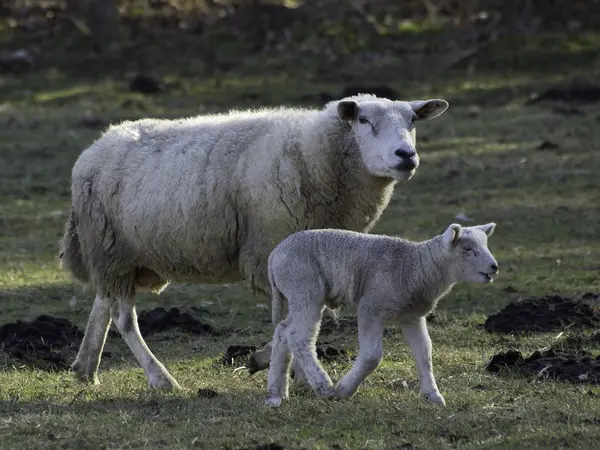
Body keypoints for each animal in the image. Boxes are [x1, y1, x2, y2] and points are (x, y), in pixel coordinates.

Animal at [57, 93, 450, 388]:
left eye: (412, 121)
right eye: (364, 121)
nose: (406, 156)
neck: (313, 157)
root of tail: (95, 147)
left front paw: (286, 370)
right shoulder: (271, 251)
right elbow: (293, 320)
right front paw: (274, 365)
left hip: (115, 252)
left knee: (103, 303)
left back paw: (85, 369)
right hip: (111, 249)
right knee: (123, 317)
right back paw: (160, 379)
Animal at [264, 222, 500, 408]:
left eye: (486, 245)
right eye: (468, 248)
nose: (494, 267)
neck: (416, 267)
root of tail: (275, 253)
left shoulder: (412, 317)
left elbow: (424, 352)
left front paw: (432, 395)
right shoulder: (371, 307)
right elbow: (372, 356)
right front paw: (345, 390)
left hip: (300, 295)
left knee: (283, 331)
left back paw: (276, 393)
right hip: (304, 288)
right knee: (299, 337)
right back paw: (324, 387)